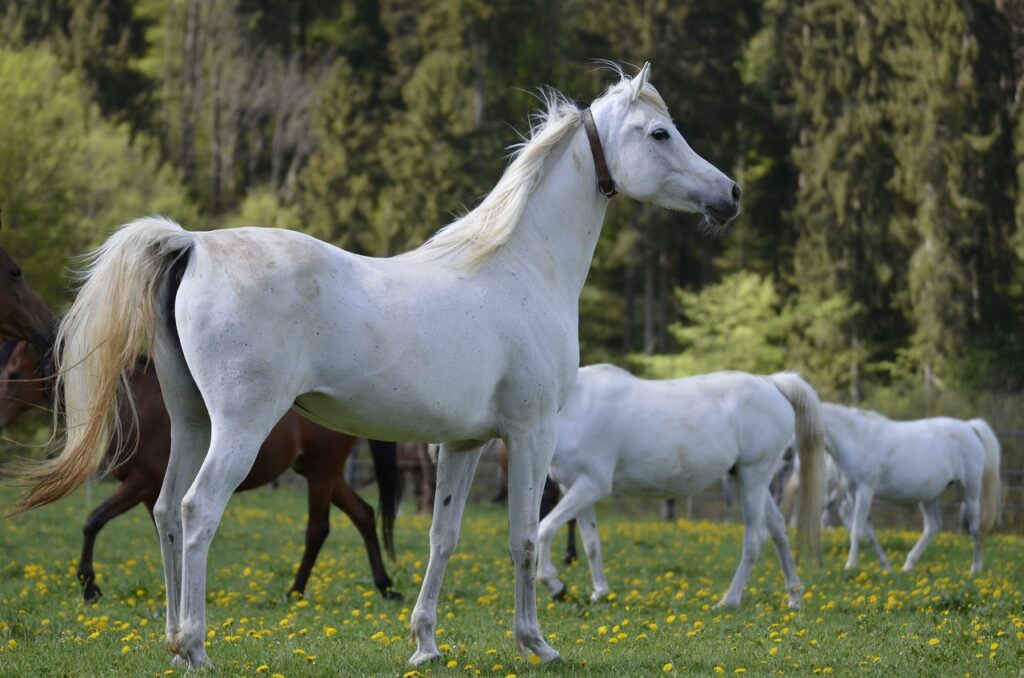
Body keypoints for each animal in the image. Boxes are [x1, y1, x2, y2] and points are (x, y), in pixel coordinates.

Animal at [0, 346, 399, 602]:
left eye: (14, 373)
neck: (138, 401)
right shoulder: (151, 492)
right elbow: (166, 533)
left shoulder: (141, 483)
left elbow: (93, 520)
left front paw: (89, 585)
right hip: (322, 473)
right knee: (364, 514)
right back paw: (386, 587)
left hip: (321, 470)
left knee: (318, 529)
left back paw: (296, 592)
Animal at [536, 368, 823, 614]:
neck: (576, 406)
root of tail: (771, 383)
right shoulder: (573, 486)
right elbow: (591, 543)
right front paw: (600, 592)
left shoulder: (591, 484)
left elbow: (545, 528)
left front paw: (555, 585)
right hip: (748, 479)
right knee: (778, 530)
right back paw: (794, 597)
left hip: (754, 476)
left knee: (755, 539)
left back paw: (728, 601)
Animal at [819, 405, 1003, 577]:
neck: (858, 438)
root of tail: (969, 427)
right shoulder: (852, 493)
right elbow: (868, 531)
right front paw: (886, 566)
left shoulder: (865, 490)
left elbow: (857, 530)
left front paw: (850, 566)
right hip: (929, 495)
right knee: (933, 526)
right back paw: (908, 565)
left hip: (970, 493)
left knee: (976, 529)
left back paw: (975, 570)